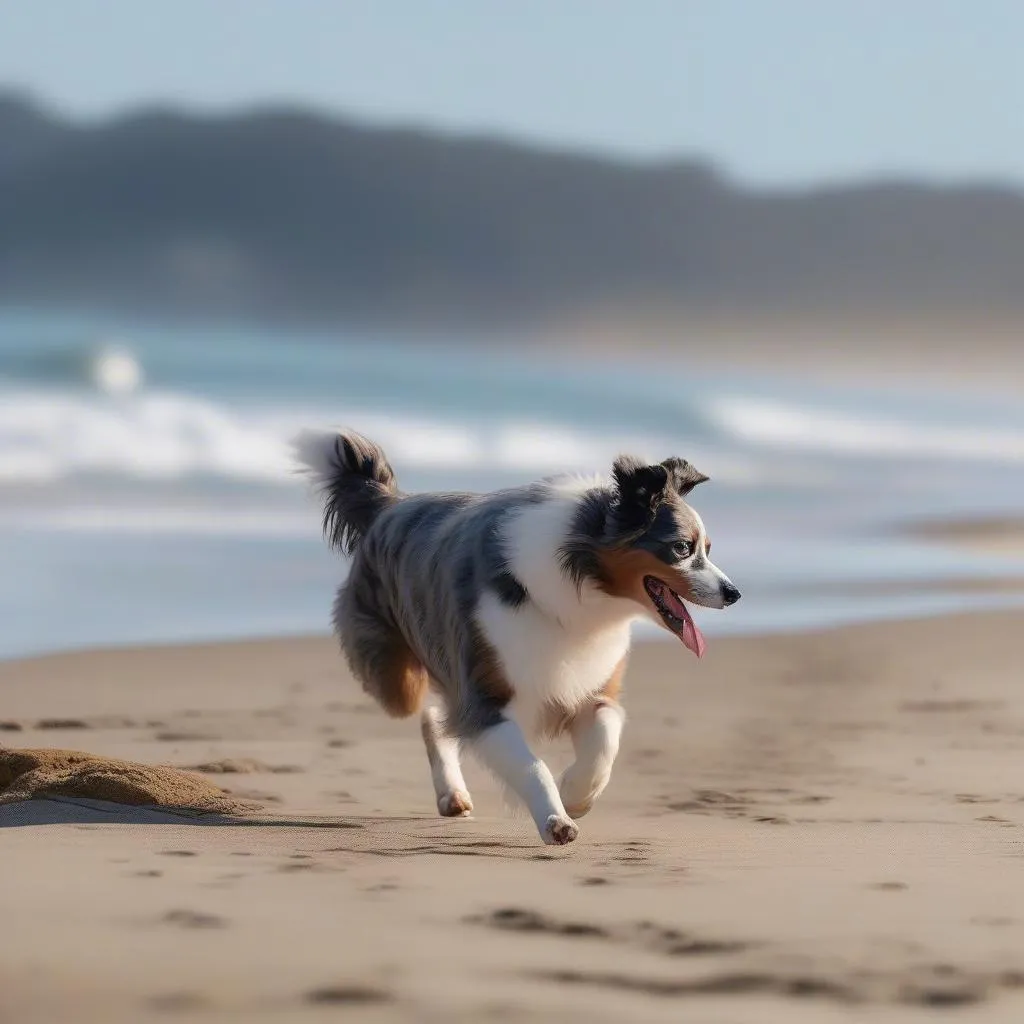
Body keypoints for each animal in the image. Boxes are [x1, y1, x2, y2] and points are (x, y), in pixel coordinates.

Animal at [292, 428, 741, 843]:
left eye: (708, 548)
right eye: (683, 548)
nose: (733, 594)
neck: (581, 583)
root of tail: (390, 504)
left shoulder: (591, 689)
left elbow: (604, 743)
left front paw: (574, 795)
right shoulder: (487, 698)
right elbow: (530, 764)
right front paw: (555, 819)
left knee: (439, 715)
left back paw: (453, 795)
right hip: (397, 679)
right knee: (430, 715)